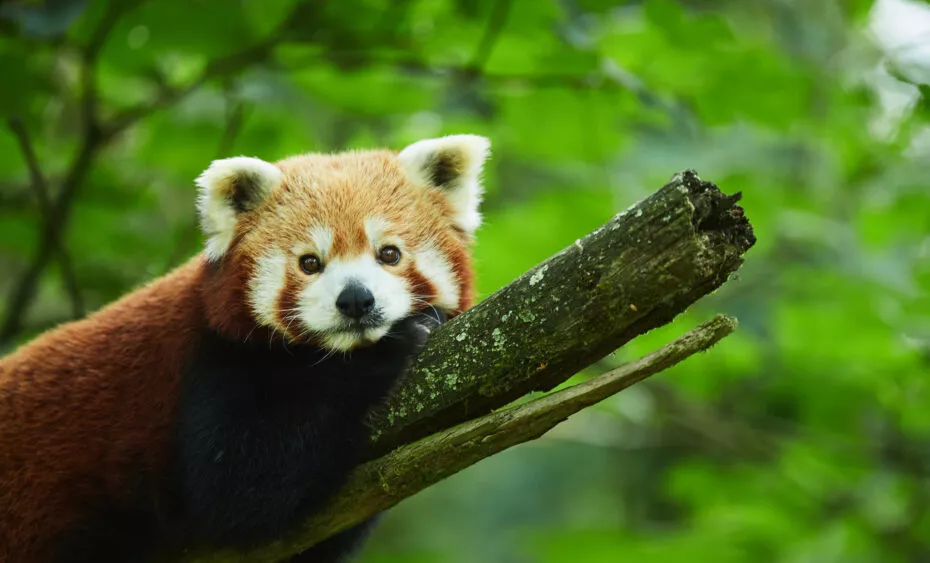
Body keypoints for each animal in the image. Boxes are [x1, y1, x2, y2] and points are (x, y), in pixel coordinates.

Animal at [0, 134, 491, 563]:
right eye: (310, 263)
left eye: (389, 254)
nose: (355, 300)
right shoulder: (211, 363)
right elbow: (242, 487)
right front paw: (390, 348)